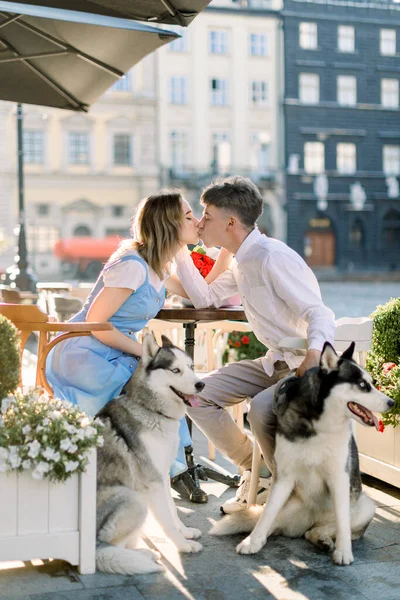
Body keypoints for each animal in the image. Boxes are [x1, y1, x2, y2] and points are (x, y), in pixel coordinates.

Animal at [95, 336, 205, 576]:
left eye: (191, 367)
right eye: (175, 370)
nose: (201, 385)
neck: (151, 410)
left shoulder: (162, 475)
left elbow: (173, 511)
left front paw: (185, 532)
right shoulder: (152, 482)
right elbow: (167, 521)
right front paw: (183, 545)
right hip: (134, 500)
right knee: (105, 549)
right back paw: (140, 555)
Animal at [212, 342, 394, 568]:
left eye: (371, 382)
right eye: (362, 384)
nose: (392, 402)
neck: (320, 426)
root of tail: (310, 519)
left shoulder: (339, 478)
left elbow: (343, 522)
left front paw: (343, 552)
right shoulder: (284, 477)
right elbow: (267, 514)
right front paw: (251, 542)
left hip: (365, 506)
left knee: (322, 529)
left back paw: (323, 538)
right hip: (288, 507)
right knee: (276, 522)